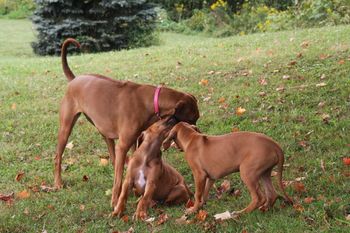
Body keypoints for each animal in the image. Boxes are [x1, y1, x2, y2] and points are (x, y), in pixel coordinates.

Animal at [53, 38, 198, 208]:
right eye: (192, 119)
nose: (198, 131)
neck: (150, 101)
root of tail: (75, 79)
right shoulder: (123, 145)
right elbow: (118, 179)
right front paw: (116, 201)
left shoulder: (135, 141)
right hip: (66, 128)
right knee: (58, 156)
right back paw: (58, 183)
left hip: (103, 129)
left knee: (112, 156)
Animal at [163, 123, 292, 216]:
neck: (191, 137)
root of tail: (275, 145)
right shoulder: (210, 178)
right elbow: (205, 192)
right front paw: (201, 206)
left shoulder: (199, 175)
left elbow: (198, 194)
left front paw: (193, 209)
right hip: (264, 172)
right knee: (272, 194)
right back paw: (265, 208)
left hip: (247, 172)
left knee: (259, 198)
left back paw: (241, 213)